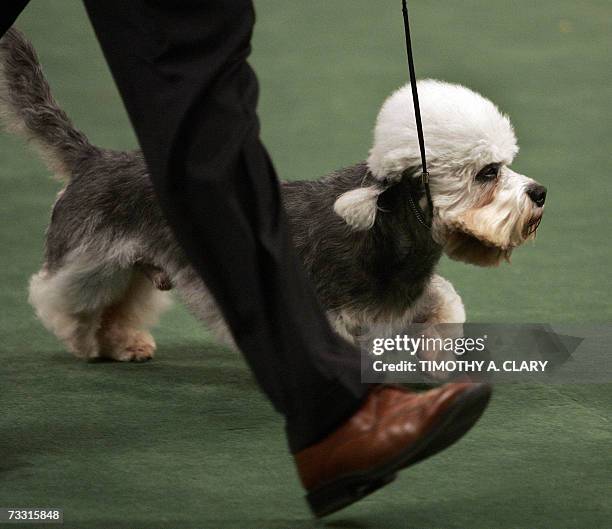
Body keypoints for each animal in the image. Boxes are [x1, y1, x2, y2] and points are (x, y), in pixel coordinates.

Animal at [0, 29, 544, 364]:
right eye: (488, 172)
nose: (540, 192)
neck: (385, 226)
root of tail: (92, 159)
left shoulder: (404, 300)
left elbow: (445, 305)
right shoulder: (330, 312)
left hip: (135, 267)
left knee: (121, 304)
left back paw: (124, 343)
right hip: (91, 260)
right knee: (59, 296)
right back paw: (87, 342)